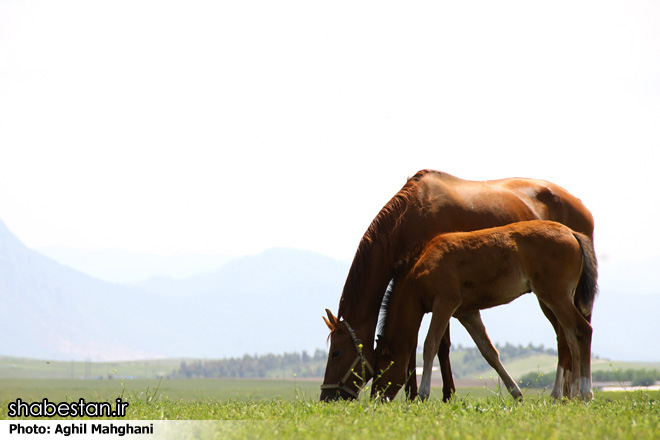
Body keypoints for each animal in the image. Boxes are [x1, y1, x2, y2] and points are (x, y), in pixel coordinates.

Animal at [372, 220, 600, 402]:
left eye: (381, 367)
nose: (376, 397)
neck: (421, 267)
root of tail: (571, 233)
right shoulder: (466, 313)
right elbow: (489, 352)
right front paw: (516, 393)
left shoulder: (444, 304)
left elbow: (430, 345)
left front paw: (423, 394)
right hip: (560, 298)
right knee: (570, 337)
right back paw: (573, 396)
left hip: (554, 295)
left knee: (582, 330)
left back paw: (585, 393)